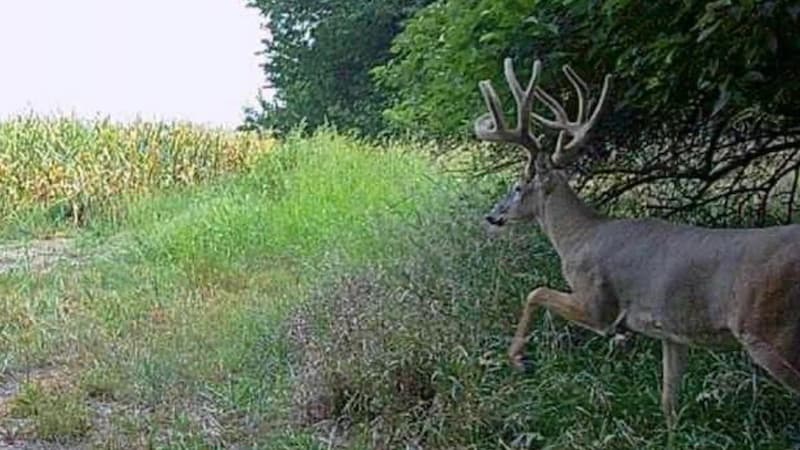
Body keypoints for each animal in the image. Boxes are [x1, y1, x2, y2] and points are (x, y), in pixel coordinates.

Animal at [474, 57, 800, 437]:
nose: (492, 215)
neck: (579, 237)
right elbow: (669, 400)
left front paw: (518, 359)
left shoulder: (598, 303)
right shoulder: (672, 332)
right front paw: (673, 436)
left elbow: (535, 292)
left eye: (517, 186)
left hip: (769, 329)